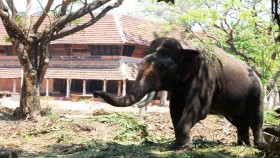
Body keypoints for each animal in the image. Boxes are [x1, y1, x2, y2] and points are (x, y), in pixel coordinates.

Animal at [94, 37, 264, 150]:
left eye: (162, 67)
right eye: (141, 62)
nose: (95, 92)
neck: (187, 46)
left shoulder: (204, 77)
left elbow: (198, 109)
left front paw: (187, 147)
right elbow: (175, 109)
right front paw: (176, 146)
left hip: (256, 93)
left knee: (255, 118)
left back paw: (259, 145)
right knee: (239, 121)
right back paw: (242, 145)